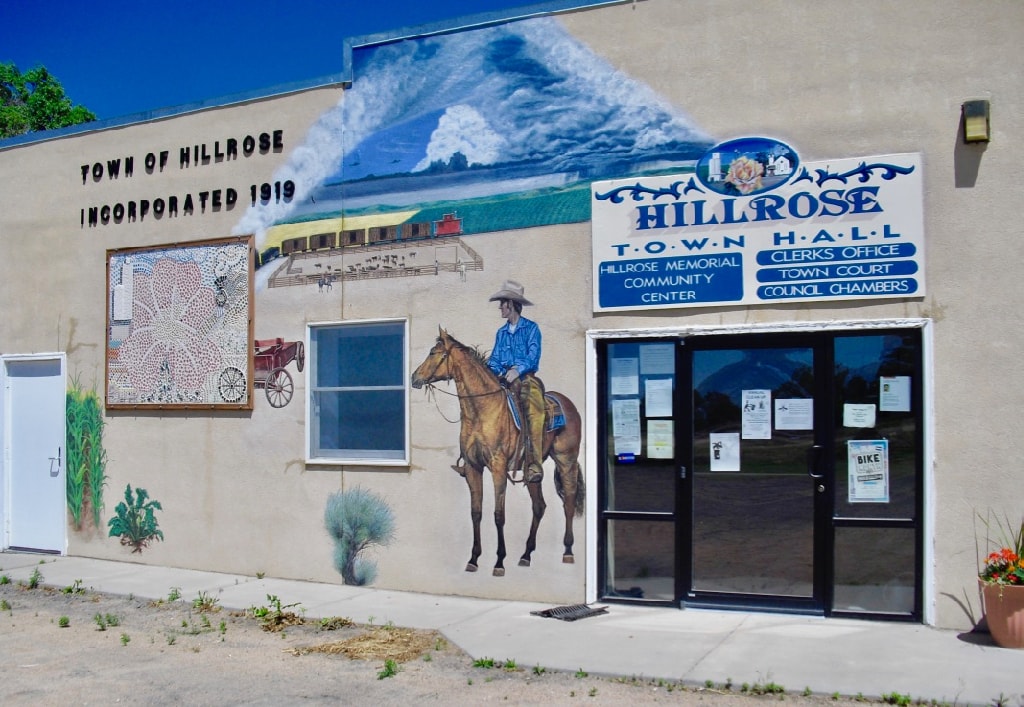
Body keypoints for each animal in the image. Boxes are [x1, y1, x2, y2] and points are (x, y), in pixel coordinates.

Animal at [409, 327, 585, 573]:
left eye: (434, 353)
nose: (414, 377)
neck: (482, 411)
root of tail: (568, 404)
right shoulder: (473, 468)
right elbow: (476, 513)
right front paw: (473, 559)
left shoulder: (498, 467)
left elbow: (498, 515)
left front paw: (499, 562)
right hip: (533, 470)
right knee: (539, 506)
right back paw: (526, 555)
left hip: (566, 460)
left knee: (568, 501)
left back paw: (567, 552)